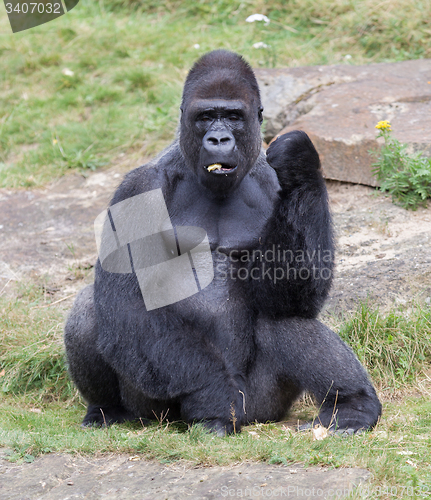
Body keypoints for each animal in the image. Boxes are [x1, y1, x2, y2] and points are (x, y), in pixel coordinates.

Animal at [64, 48, 382, 436]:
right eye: (205, 117)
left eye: (232, 117)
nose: (218, 140)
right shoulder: (136, 189)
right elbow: (129, 304)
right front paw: (213, 395)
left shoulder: (269, 181)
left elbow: (290, 294)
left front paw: (301, 165)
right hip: (157, 408)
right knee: (90, 309)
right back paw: (109, 409)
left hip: (261, 406)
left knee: (281, 318)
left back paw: (352, 405)